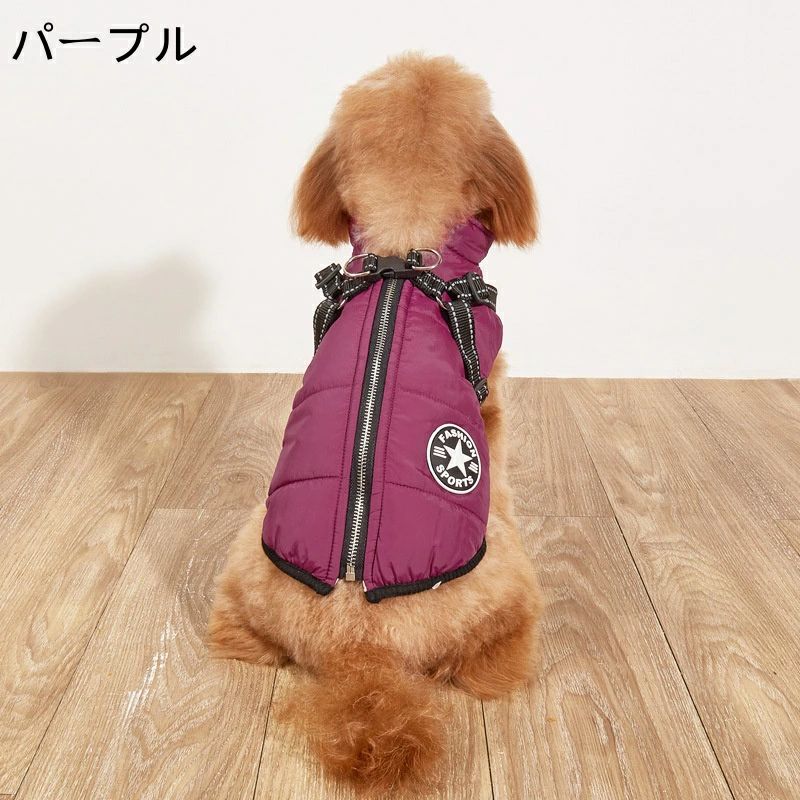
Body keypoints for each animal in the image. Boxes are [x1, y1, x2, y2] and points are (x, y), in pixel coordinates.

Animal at [208, 53, 541, 794]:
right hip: (503, 577)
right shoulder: (490, 398)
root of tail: (360, 653)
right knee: (490, 660)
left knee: (234, 632)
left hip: (246, 549)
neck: (402, 254)